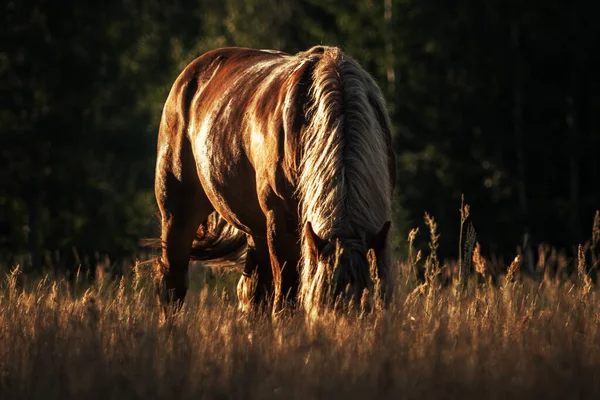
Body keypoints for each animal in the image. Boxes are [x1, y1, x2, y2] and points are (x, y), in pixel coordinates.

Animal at [155, 45, 396, 314]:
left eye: (367, 307)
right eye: (321, 305)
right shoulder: (281, 225)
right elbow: (286, 297)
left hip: (255, 230)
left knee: (252, 291)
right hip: (177, 212)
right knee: (173, 283)